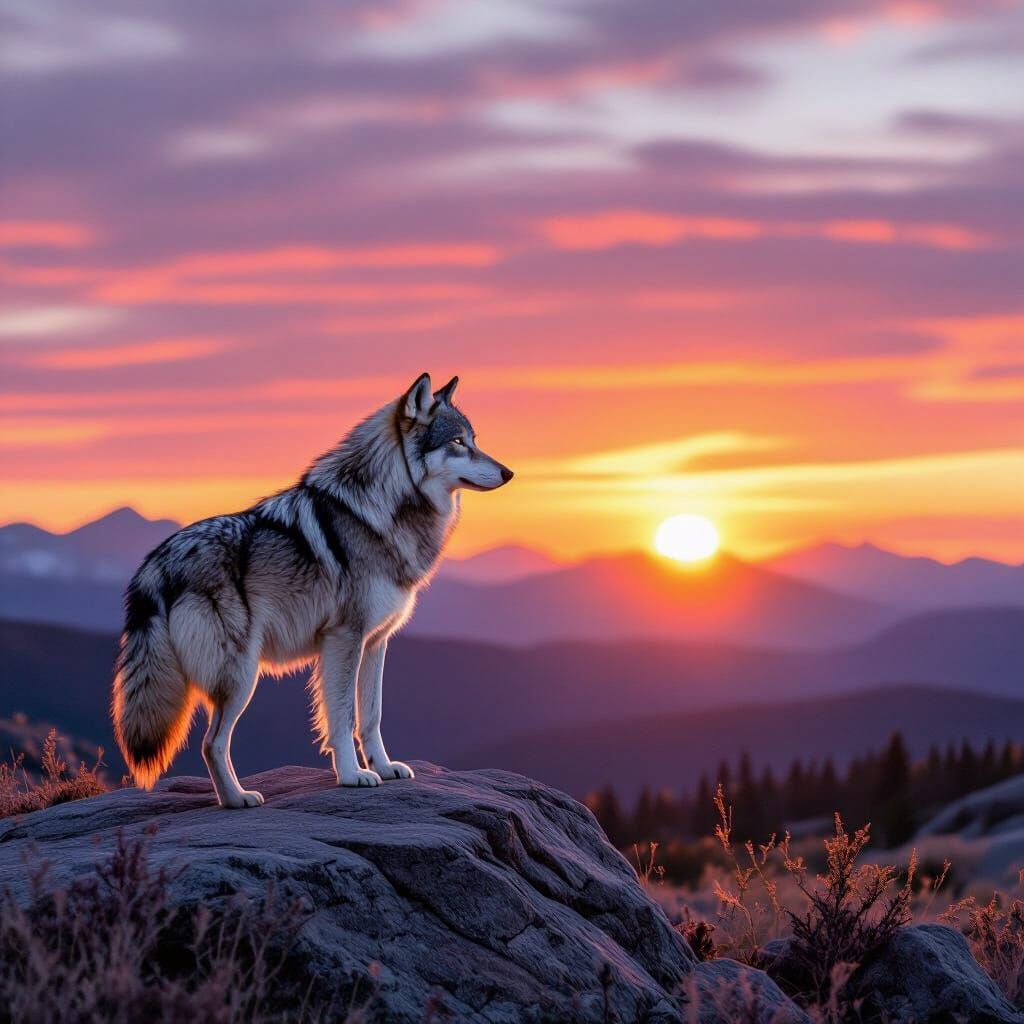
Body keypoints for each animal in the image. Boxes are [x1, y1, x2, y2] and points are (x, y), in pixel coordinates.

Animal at [112, 373, 512, 808]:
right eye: (457, 442)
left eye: (473, 440)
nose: (509, 473)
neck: (381, 508)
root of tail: (156, 563)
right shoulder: (344, 638)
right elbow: (342, 716)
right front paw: (353, 776)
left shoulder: (376, 642)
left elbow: (371, 715)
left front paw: (384, 767)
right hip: (241, 675)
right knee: (211, 743)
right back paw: (238, 799)